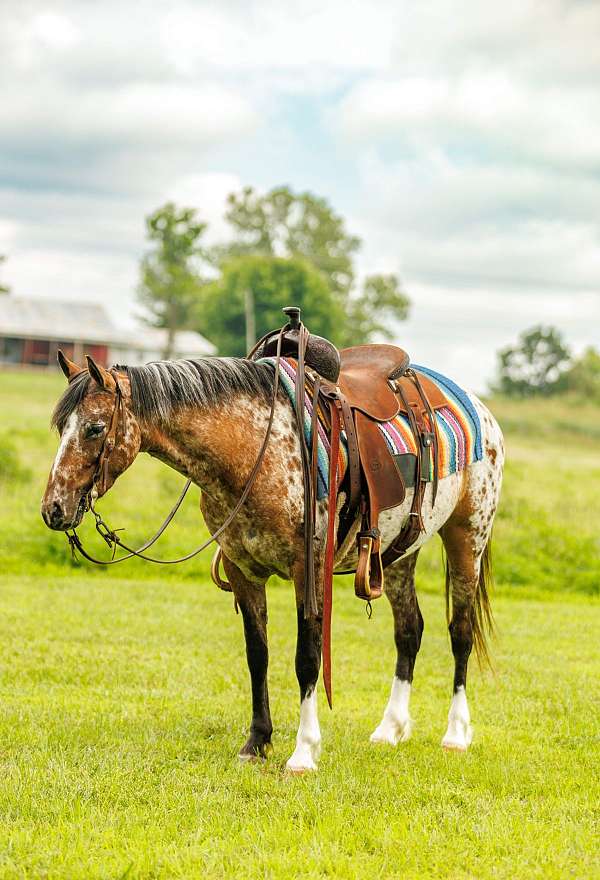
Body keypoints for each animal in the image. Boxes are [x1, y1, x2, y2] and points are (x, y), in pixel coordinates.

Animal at [41, 351, 504, 772]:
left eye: (94, 427)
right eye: (60, 427)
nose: (53, 509)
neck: (251, 451)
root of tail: (477, 408)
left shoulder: (307, 572)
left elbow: (307, 658)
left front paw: (303, 752)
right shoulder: (242, 571)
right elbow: (257, 655)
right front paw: (256, 742)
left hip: (468, 538)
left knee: (460, 632)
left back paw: (456, 733)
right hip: (396, 555)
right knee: (409, 631)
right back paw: (389, 729)